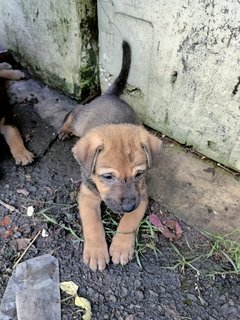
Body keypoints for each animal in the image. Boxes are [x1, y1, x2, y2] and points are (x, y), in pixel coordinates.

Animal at [59, 39, 161, 270]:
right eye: (107, 176)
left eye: (139, 174)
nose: (128, 206)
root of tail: (109, 95)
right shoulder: (87, 196)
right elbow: (93, 224)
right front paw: (97, 252)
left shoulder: (142, 196)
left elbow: (129, 222)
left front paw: (121, 247)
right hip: (80, 122)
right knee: (73, 113)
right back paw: (64, 129)